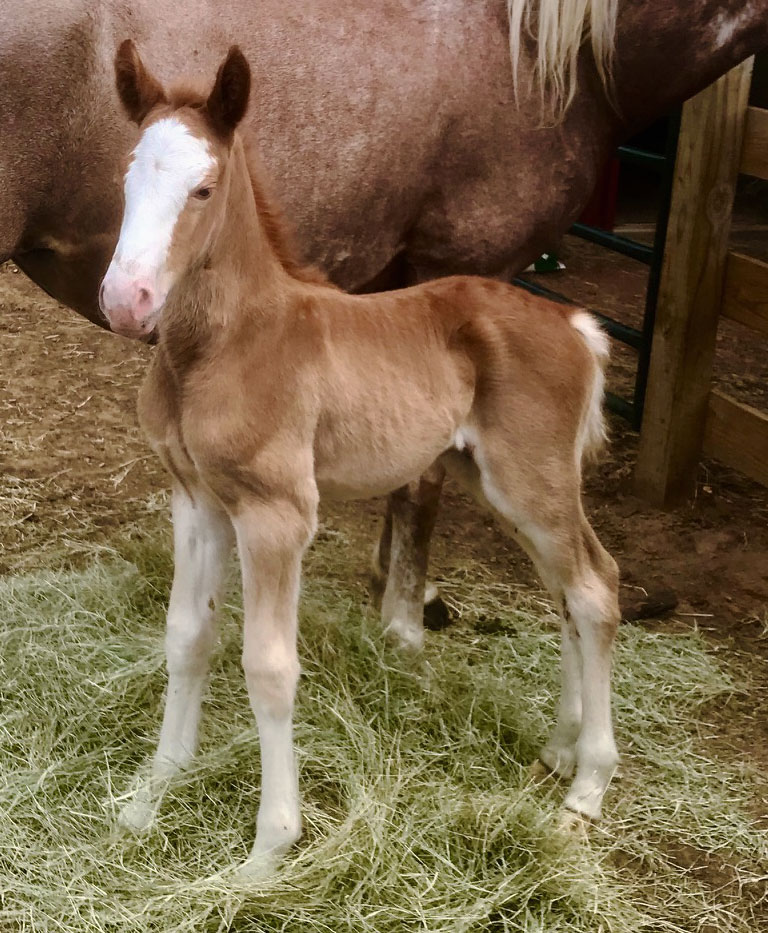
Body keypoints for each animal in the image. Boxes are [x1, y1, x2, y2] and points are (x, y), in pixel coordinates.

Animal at [99, 41, 620, 872]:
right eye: (127, 177)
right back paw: (561, 749)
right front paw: (153, 792)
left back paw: (586, 791)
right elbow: (186, 637)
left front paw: (268, 849)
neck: (225, 346)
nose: (127, 300)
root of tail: (577, 326)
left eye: (203, 188)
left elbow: (269, 666)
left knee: (596, 590)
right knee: (568, 591)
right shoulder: (198, 497)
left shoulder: (278, 513)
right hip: (503, 485)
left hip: (530, 481)